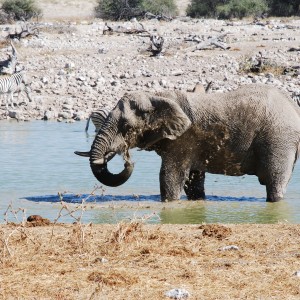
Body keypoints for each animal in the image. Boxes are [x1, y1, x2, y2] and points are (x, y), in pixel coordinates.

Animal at [75, 84, 300, 202]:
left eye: (126, 126)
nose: (128, 160)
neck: (158, 96)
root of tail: (293, 107)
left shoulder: (182, 139)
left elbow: (170, 177)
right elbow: (192, 181)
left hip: (278, 139)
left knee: (275, 182)